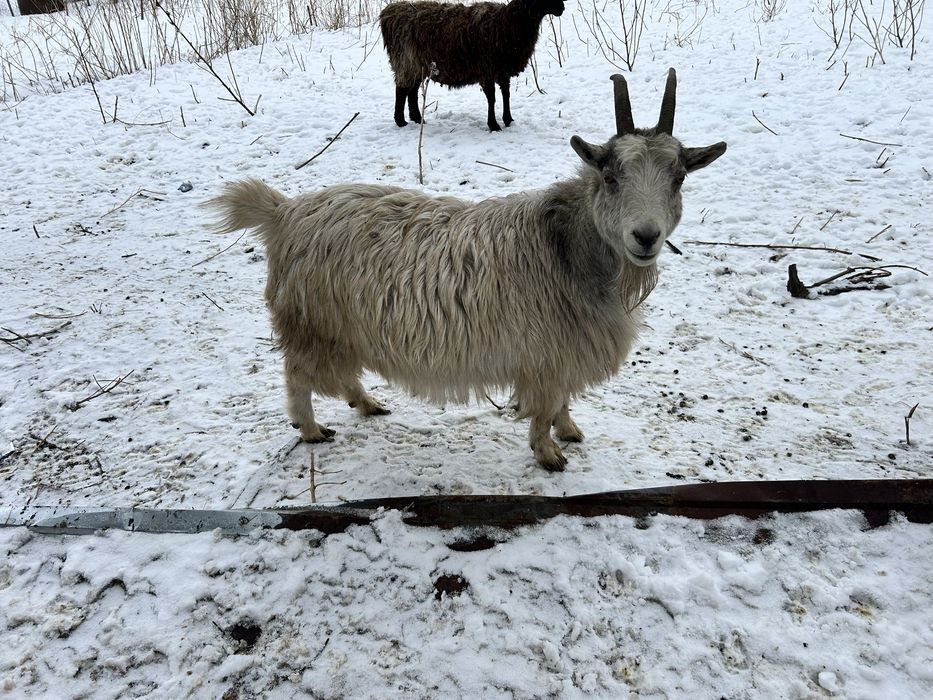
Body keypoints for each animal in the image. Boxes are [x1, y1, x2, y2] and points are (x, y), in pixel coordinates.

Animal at [207, 70, 726, 471]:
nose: (646, 237)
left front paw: (570, 430)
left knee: (342, 376)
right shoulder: (546, 357)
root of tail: (283, 212)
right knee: (297, 377)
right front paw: (548, 454)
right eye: (611, 176)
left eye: (679, 177)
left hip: (341, 328)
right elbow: (543, 410)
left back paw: (369, 405)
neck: (566, 246)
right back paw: (312, 429)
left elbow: (562, 402)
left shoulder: (563, 354)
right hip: (313, 324)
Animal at [379, 0, 565, 131]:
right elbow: (492, 98)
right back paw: (401, 122)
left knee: (412, 91)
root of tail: (388, 13)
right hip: (405, 60)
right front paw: (494, 125)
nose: (562, 7)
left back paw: (418, 119)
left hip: (419, 65)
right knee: (401, 90)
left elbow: (506, 94)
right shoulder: (487, 69)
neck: (508, 24)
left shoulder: (502, 70)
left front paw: (508, 120)